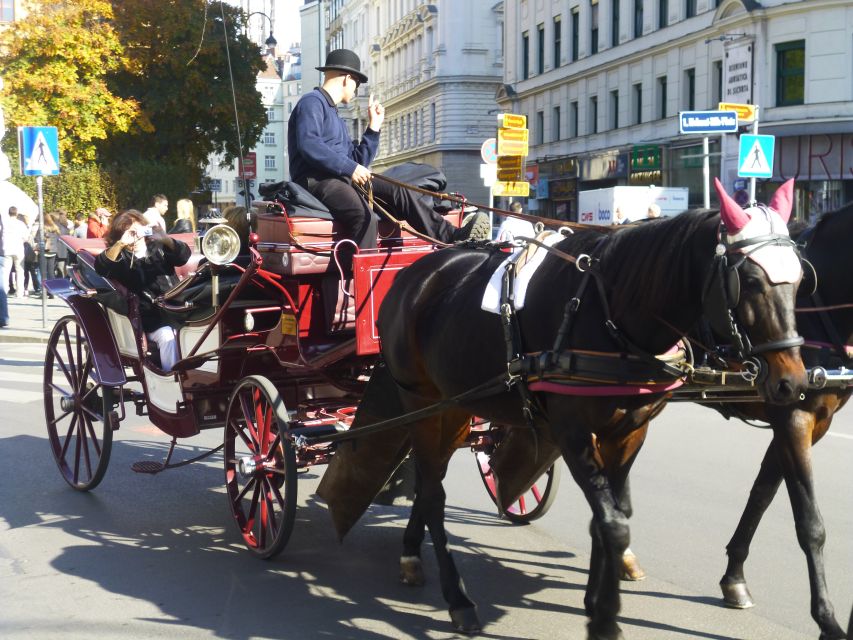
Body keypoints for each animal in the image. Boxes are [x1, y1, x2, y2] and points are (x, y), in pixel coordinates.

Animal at [318, 181, 804, 640]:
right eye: (750, 281)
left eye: (801, 281)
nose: (793, 383)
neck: (610, 313)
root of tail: (411, 276)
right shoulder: (572, 434)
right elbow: (612, 523)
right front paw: (605, 618)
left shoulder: (629, 433)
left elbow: (611, 517)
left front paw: (596, 597)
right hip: (423, 405)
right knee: (434, 494)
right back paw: (458, 599)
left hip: (455, 408)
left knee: (427, 480)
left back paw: (410, 557)